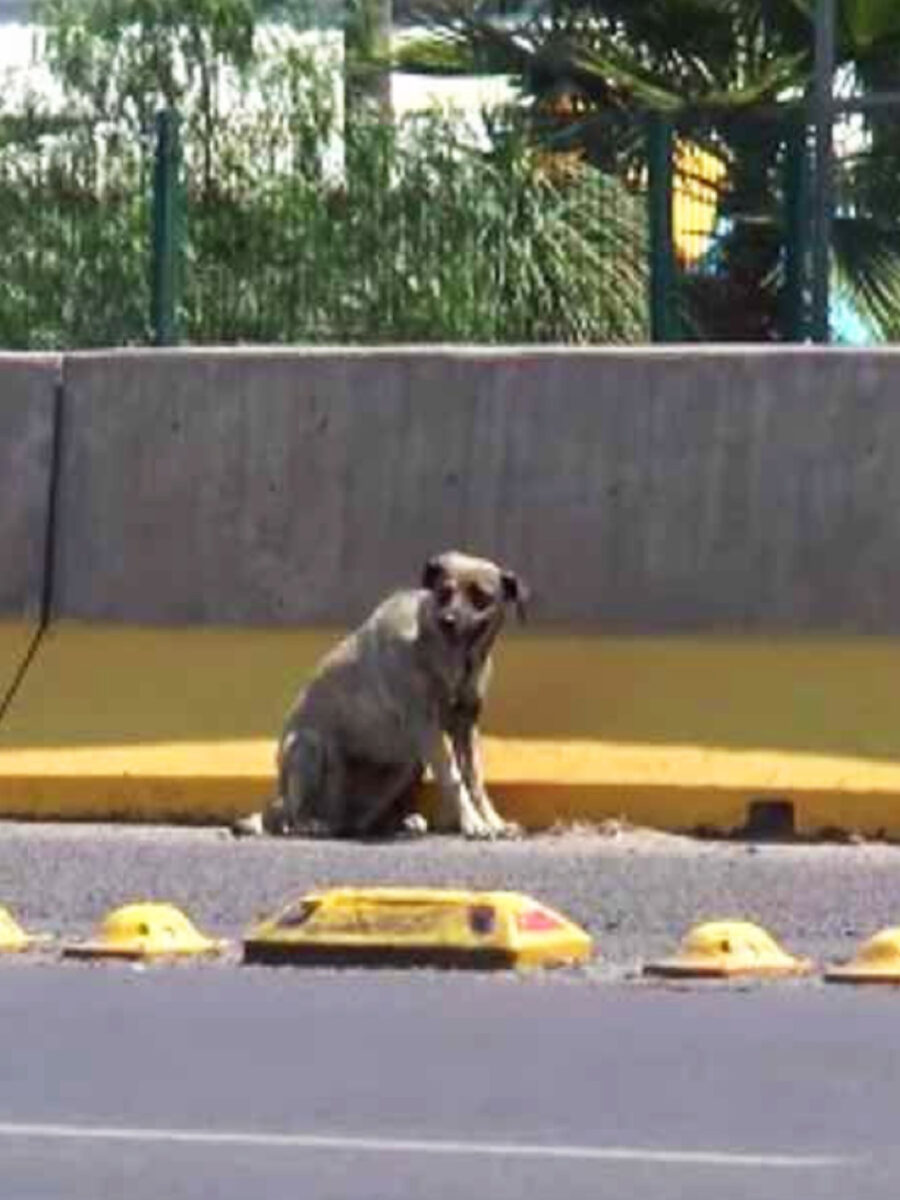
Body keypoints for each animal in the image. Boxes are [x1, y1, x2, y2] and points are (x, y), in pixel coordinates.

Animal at [234, 549, 528, 840]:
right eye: (444, 592)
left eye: (480, 597)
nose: (448, 621)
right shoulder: (427, 728)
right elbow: (453, 778)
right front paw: (473, 822)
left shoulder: (465, 727)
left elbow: (475, 780)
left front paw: (492, 820)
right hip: (308, 746)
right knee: (297, 813)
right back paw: (310, 823)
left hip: (407, 766)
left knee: (357, 819)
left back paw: (394, 823)